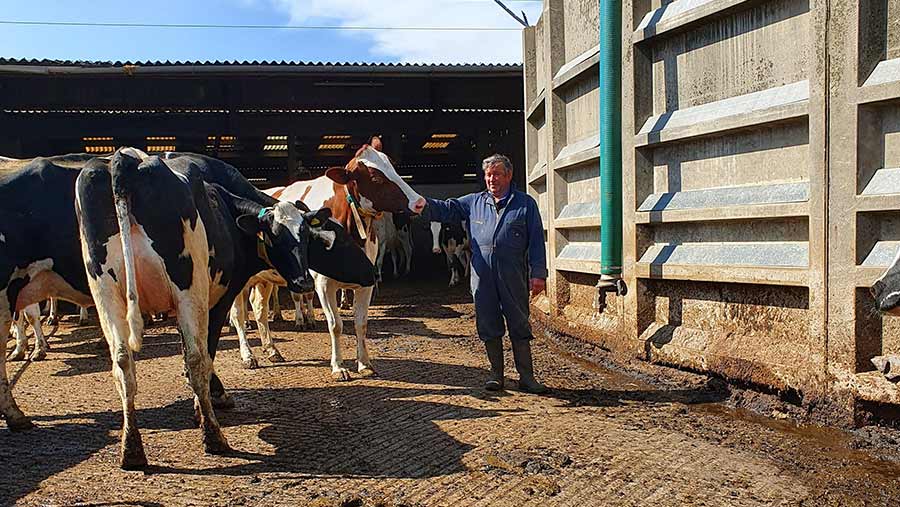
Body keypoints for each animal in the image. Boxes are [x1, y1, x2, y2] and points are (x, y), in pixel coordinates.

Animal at [75, 150, 336, 468]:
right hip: (190, 289)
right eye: (274, 236)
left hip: (106, 293)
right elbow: (206, 351)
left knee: (123, 363)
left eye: (305, 235)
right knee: (197, 357)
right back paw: (213, 436)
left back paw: (132, 450)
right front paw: (212, 397)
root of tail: (126, 159)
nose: (304, 281)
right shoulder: (221, 297)